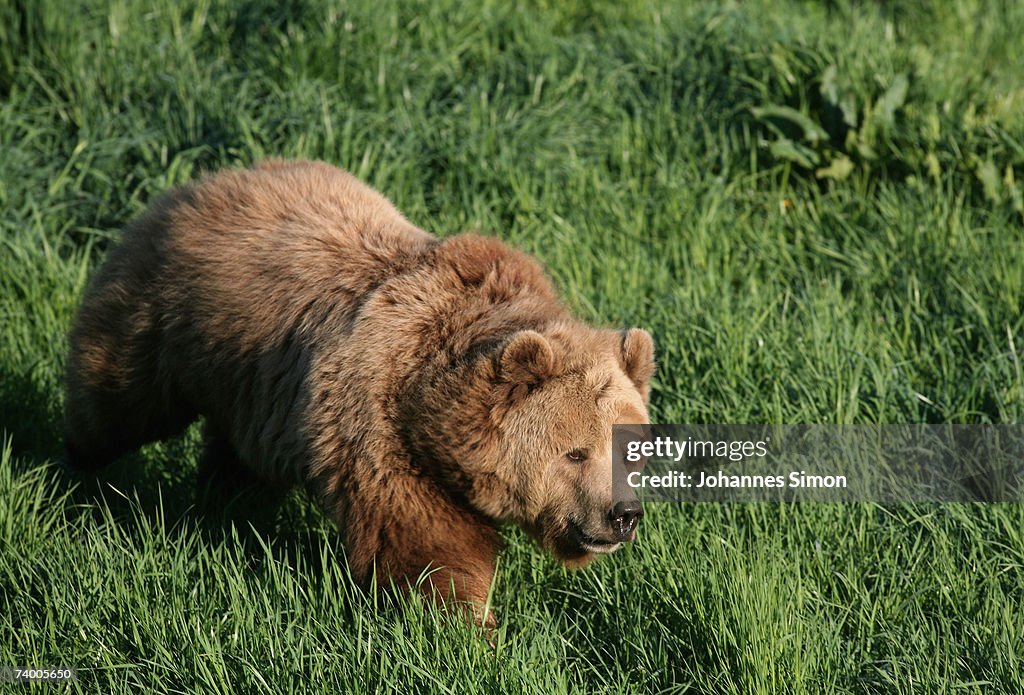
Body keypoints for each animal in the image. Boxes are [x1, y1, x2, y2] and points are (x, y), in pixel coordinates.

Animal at [64, 157, 651, 626]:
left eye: (629, 452)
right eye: (575, 453)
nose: (623, 514)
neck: (430, 406)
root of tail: (210, 178)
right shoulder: (380, 426)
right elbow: (427, 544)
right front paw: (468, 627)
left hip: (248, 382)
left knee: (238, 456)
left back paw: (222, 504)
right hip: (165, 318)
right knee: (115, 402)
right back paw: (72, 471)